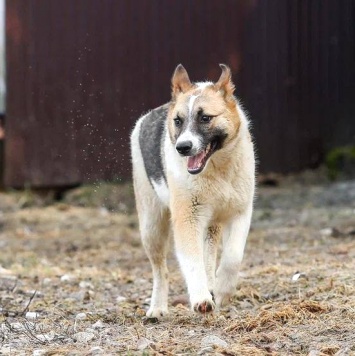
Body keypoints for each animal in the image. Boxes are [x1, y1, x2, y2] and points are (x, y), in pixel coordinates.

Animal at [131, 64, 256, 318]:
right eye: (178, 121)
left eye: (205, 118)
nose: (182, 147)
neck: (217, 169)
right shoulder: (187, 218)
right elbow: (192, 261)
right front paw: (201, 298)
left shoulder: (239, 213)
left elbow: (232, 257)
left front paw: (222, 290)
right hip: (151, 226)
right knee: (161, 270)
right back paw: (157, 308)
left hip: (210, 226)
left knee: (208, 258)